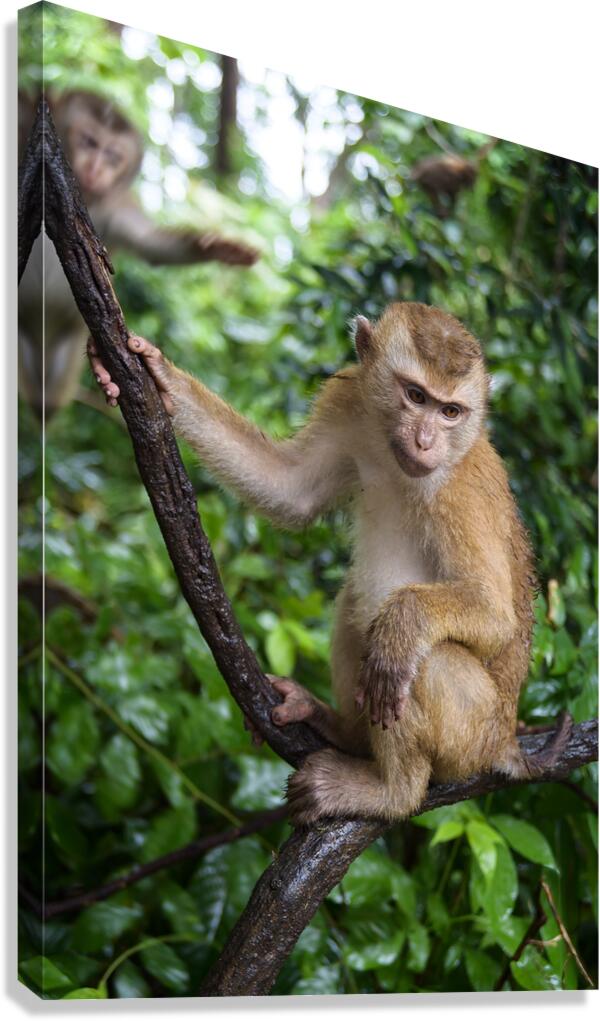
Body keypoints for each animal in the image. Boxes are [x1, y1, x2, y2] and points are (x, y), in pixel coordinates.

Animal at [18, 90, 260, 418]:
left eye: (112, 156)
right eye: (89, 142)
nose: (96, 168)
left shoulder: (116, 210)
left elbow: (151, 244)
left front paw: (218, 248)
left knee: (50, 399)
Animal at [88, 302, 572, 824]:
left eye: (450, 412)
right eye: (415, 395)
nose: (426, 442)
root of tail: (504, 741)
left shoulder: (460, 491)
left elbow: (493, 613)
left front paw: (403, 626)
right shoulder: (349, 402)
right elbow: (291, 490)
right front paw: (159, 375)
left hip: (472, 734)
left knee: (421, 658)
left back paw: (392, 789)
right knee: (354, 604)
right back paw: (341, 731)